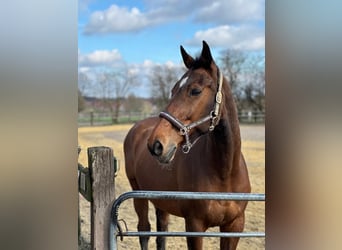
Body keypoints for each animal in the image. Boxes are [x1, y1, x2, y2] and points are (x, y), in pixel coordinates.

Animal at [124, 41, 250, 250]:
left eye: (196, 90)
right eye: (173, 90)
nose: (156, 145)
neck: (224, 173)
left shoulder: (234, 226)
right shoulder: (194, 226)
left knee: (161, 232)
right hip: (138, 193)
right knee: (144, 230)